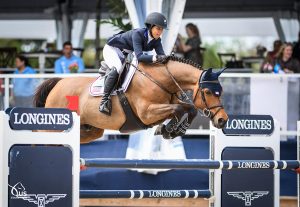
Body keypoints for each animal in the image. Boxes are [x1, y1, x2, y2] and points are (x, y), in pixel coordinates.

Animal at [32, 56, 229, 144]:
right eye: (207, 92)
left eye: (220, 92)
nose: (222, 120)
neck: (160, 79)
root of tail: (58, 83)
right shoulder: (147, 113)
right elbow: (179, 110)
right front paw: (169, 130)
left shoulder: (166, 105)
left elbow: (189, 109)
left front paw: (172, 130)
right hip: (54, 127)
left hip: (91, 130)